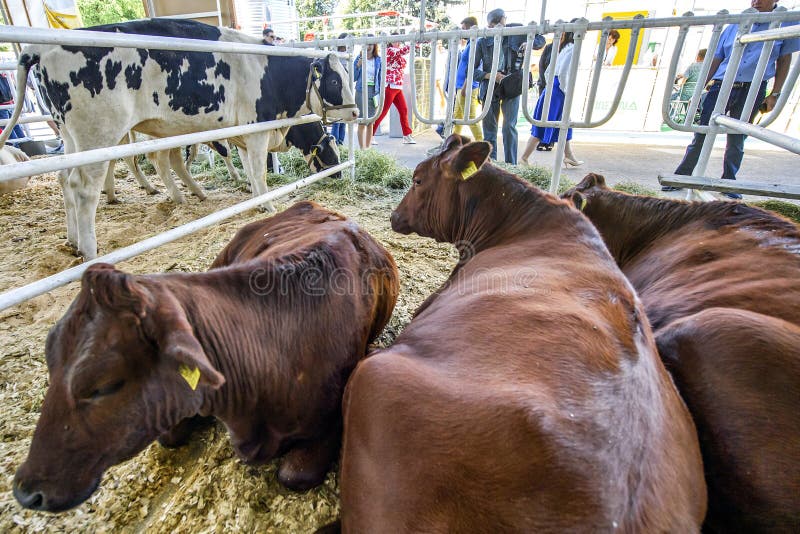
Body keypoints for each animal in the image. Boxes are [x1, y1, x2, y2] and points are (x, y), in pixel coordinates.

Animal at [0, 18, 356, 259]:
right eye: (335, 81)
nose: (354, 112)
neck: (270, 72)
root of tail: (39, 46)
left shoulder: (241, 134)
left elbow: (249, 171)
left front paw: (253, 198)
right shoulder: (257, 130)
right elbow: (259, 173)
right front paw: (267, 204)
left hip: (70, 135)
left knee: (65, 178)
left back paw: (75, 239)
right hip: (97, 134)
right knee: (84, 188)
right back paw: (89, 249)